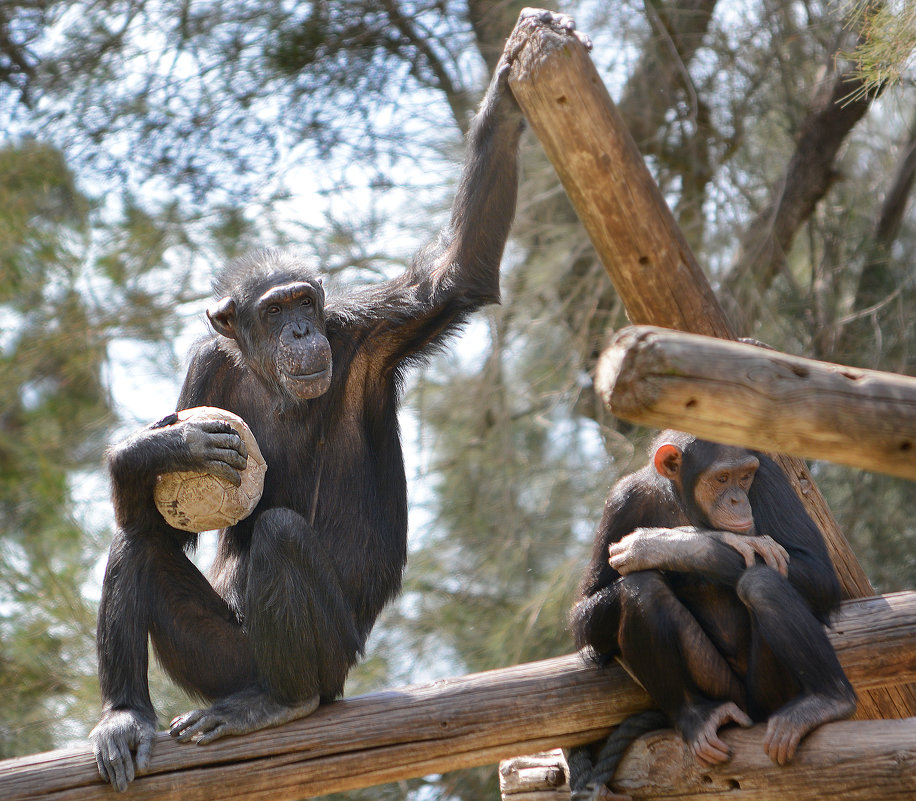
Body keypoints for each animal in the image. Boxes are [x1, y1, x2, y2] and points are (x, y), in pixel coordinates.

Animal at [87, 12, 588, 788]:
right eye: (274, 309)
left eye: (304, 302)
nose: (299, 329)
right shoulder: (204, 368)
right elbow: (165, 527)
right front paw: (163, 444)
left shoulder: (370, 328)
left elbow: (453, 274)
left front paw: (509, 85)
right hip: (218, 660)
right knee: (137, 543)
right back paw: (123, 717)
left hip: (328, 666)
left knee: (280, 538)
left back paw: (278, 704)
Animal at [572, 432, 860, 768]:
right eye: (722, 479)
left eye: (745, 476)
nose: (737, 500)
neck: (682, 502)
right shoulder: (621, 501)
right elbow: (584, 614)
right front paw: (699, 539)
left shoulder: (769, 476)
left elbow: (819, 572)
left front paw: (670, 543)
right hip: (720, 686)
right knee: (642, 588)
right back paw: (695, 717)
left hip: (771, 696)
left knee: (760, 583)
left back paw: (828, 701)